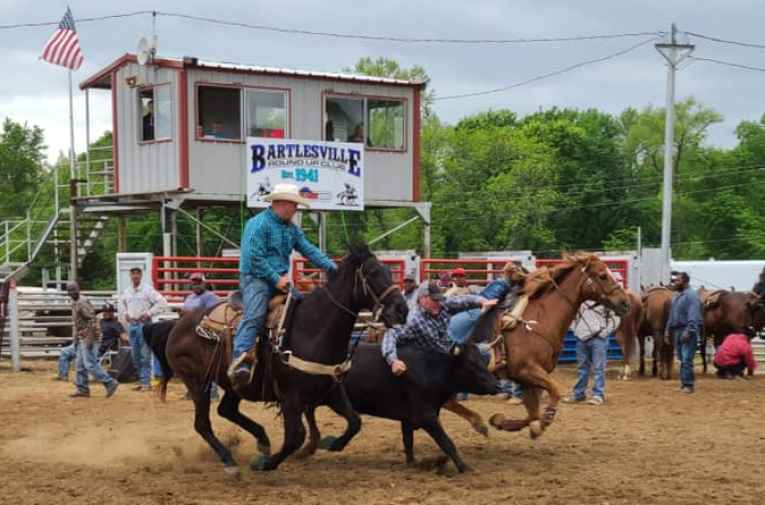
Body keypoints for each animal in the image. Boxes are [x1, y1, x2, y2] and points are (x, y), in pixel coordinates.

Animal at [150, 244, 412, 472]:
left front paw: (332, 443)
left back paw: (263, 441)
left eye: (389, 271)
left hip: (235, 383)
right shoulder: (290, 398)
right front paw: (265, 464)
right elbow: (295, 438)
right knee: (202, 423)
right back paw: (229, 459)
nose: (402, 309)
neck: (311, 329)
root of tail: (178, 324)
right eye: (372, 273)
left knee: (226, 410)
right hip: (197, 382)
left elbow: (355, 421)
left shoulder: (331, 390)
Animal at [484, 254, 632, 440]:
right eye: (603, 275)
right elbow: (554, 392)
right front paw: (545, 421)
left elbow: (533, 414)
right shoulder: (526, 371)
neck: (539, 321)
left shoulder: (529, 379)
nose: (625, 302)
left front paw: (500, 421)